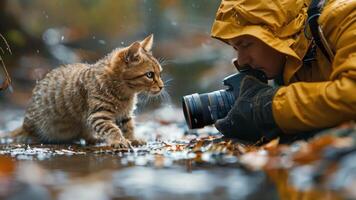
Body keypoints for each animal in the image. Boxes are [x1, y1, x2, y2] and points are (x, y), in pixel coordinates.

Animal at [10, 34, 164, 148]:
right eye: (150, 75)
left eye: (160, 73)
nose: (162, 86)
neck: (125, 95)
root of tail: (25, 124)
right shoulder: (98, 115)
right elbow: (113, 128)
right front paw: (119, 140)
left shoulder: (125, 115)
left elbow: (129, 127)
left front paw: (132, 138)